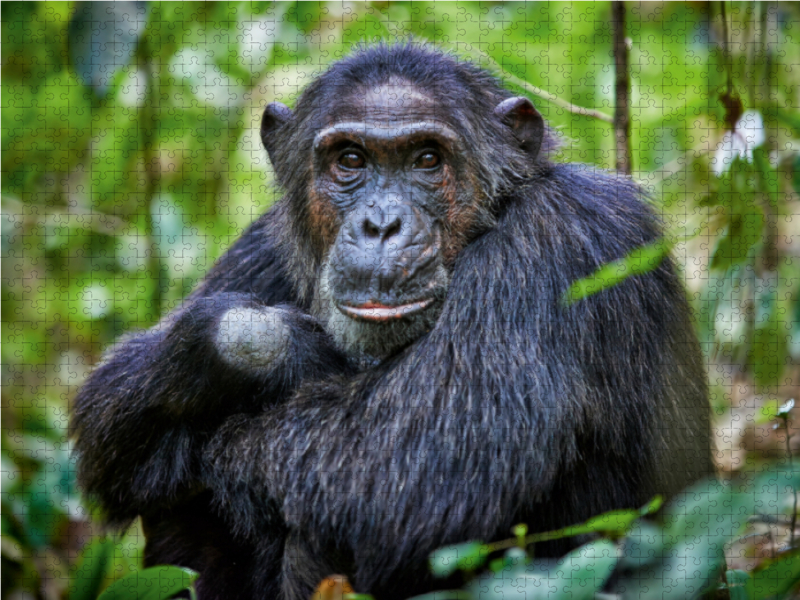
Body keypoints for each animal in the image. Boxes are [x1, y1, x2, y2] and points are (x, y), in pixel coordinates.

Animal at [72, 44, 716, 600]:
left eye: (427, 159)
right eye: (350, 160)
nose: (381, 224)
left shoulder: (568, 234)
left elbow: (409, 471)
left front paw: (242, 435)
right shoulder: (261, 247)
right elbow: (109, 409)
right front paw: (280, 347)